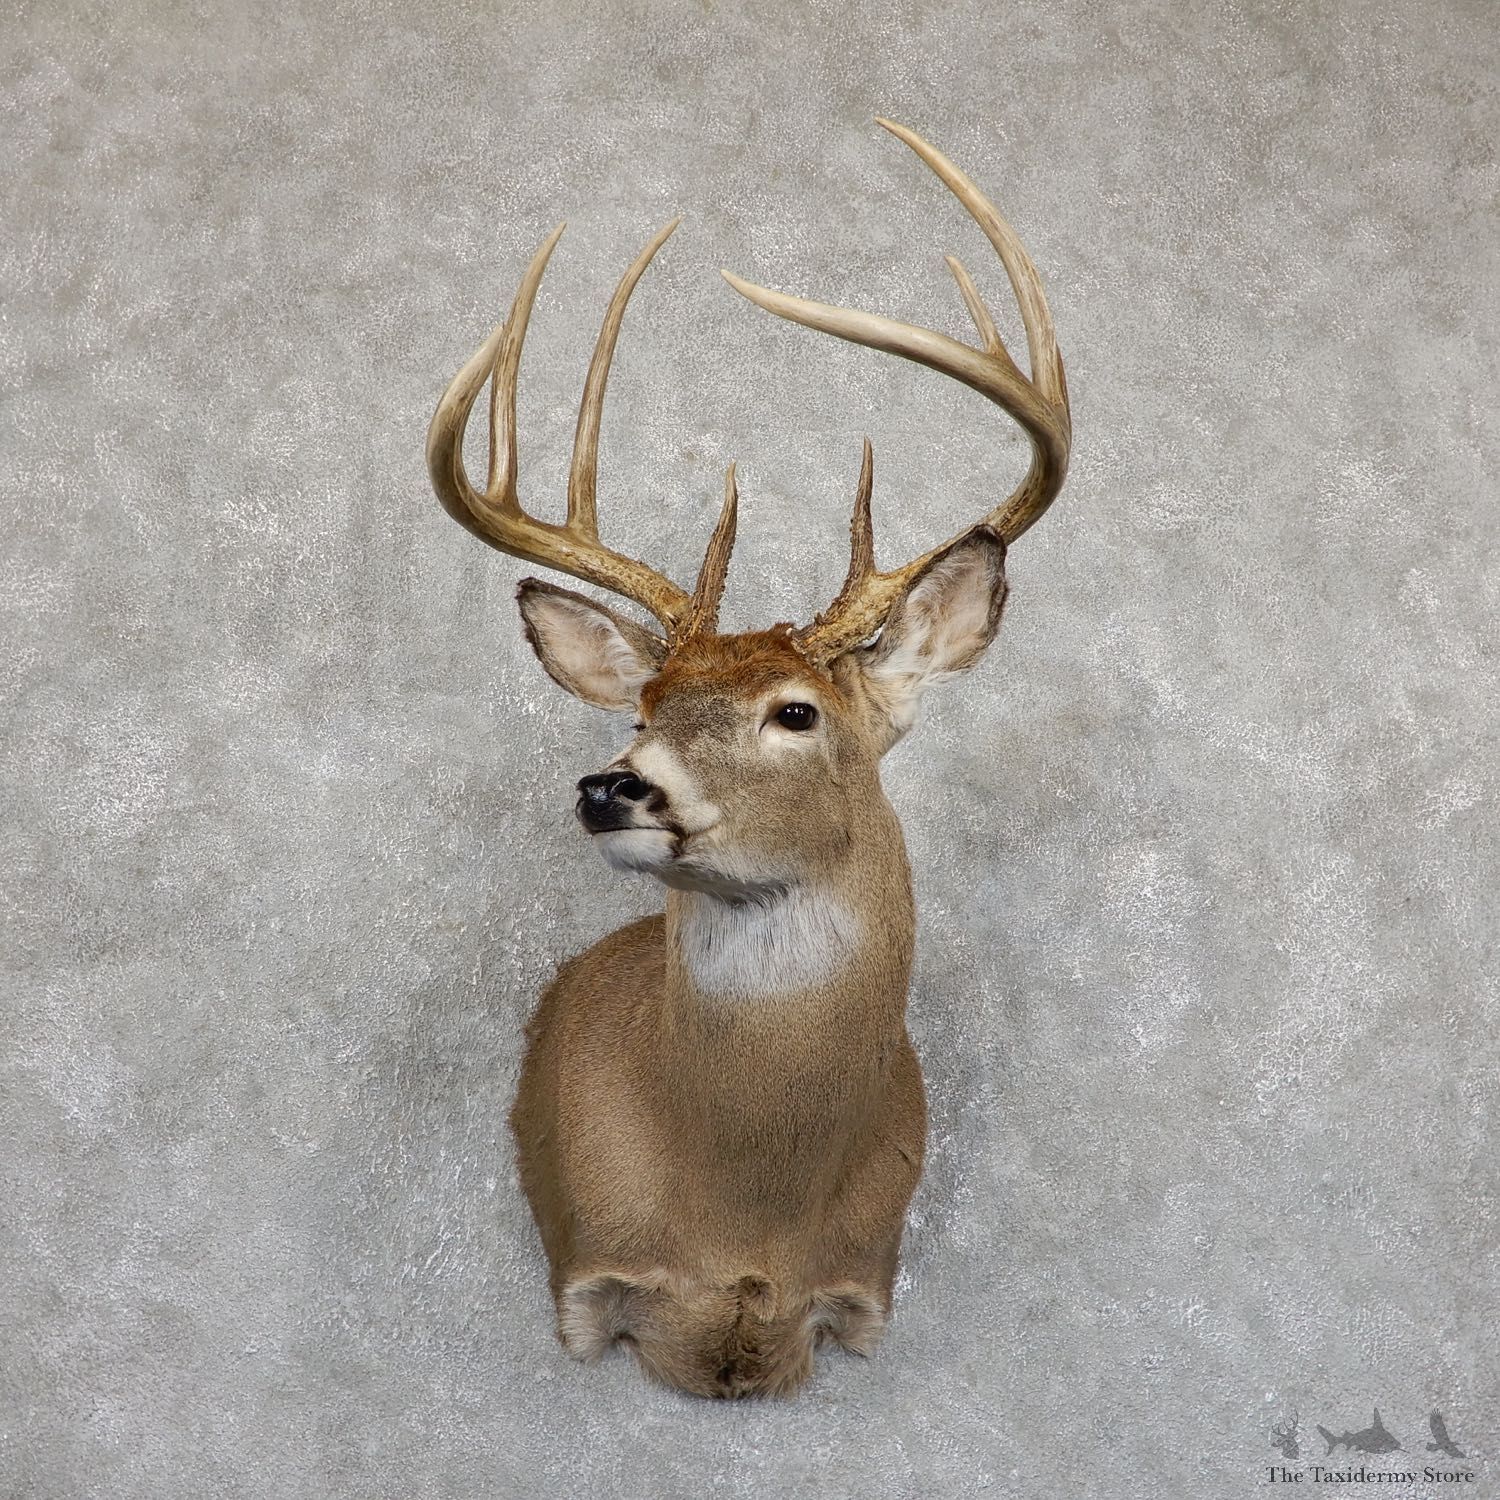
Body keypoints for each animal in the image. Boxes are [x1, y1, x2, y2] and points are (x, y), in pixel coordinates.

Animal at [426, 119, 1071, 1399]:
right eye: (645, 706)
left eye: (797, 713)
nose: (612, 784)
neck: (742, 1216)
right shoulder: (583, 1283)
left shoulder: (865, 1290)